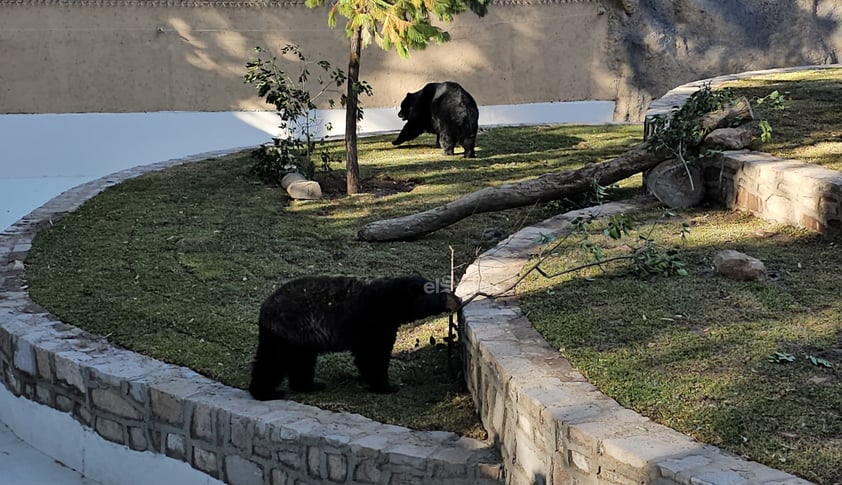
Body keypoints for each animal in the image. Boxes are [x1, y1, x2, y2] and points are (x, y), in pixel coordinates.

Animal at [249, 274, 460, 398]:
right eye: (442, 293)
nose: (458, 299)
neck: (392, 303)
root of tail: (264, 309)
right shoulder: (372, 322)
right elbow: (373, 355)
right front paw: (386, 386)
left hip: (301, 338)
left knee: (302, 361)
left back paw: (309, 385)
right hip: (288, 332)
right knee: (273, 361)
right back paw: (265, 392)